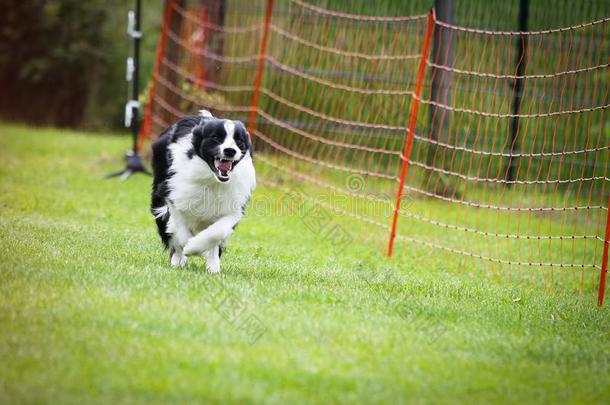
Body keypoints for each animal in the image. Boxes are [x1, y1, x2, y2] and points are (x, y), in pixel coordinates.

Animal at [152, 109, 256, 272]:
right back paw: (177, 261)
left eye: (239, 141)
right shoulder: (173, 194)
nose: (230, 151)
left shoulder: (234, 206)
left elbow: (217, 232)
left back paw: (212, 267)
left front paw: (199, 251)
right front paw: (188, 249)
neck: (213, 180)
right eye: (216, 138)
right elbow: (180, 230)